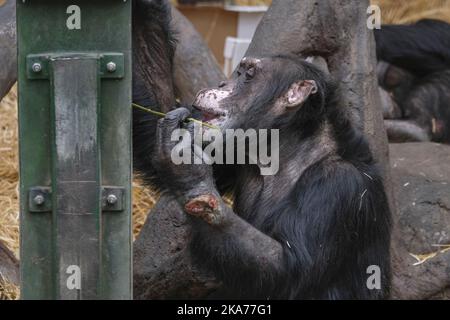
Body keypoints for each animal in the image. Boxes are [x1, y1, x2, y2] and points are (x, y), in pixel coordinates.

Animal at [149, 55, 392, 300]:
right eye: (239, 72)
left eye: (248, 75)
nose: (222, 83)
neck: (288, 147)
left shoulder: (337, 185)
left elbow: (291, 267)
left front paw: (188, 170)